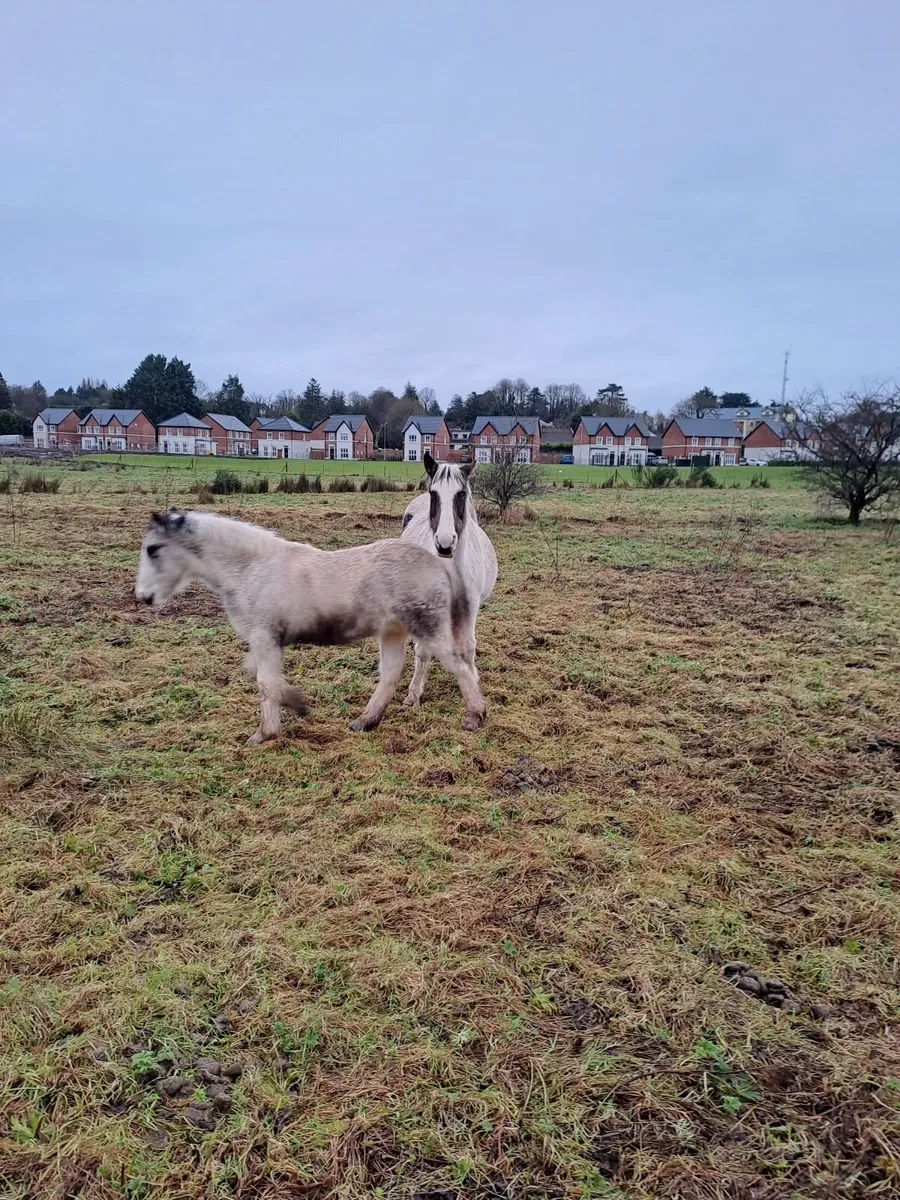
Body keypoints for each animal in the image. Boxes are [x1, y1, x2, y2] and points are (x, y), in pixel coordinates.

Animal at [134, 509, 486, 742]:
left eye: (153, 549)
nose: (143, 597)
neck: (251, 569)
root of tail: (438, 563)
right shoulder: (265, 641)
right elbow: (260, 675)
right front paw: (293, 708)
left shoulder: (264, 637)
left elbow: (264, 682)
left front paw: (266, 732)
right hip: (393, 631)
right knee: (390, 675)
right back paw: (364, 722)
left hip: (428, 627)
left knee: (460, 665)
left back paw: (475, 716)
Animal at [399, 452, 498, 710]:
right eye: (434, 493)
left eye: (461, 494)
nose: (445, 544)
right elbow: (423, 651)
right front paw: (414, 693)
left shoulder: (470, 606)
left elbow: (468, 646)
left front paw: (471, 681)